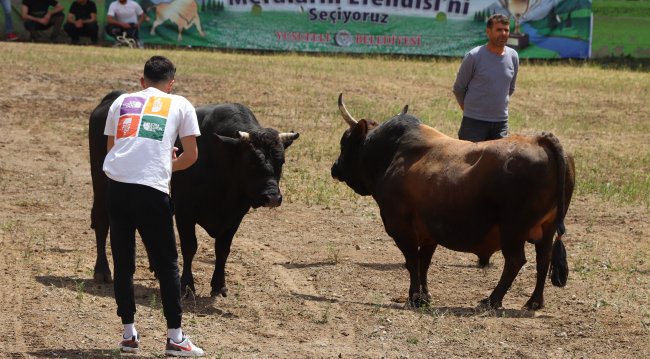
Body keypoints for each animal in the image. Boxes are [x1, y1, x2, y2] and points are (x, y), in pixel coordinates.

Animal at [87, 91, 298, 296]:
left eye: (281, 162)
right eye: (251, 162)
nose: (272, 197)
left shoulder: (235, 216)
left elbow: (223, 249)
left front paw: (219, 284)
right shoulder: (184, 211)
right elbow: (190, 247)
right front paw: (187, 285)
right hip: (101, 183)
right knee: (101, 220)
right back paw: (102, 270)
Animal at [330, 94, 572, 310]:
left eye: (344, 141)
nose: (335, 167)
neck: (392, 154)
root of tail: (540, 140)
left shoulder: (400, 227)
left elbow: (413, 261)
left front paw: (415, 297)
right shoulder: (429, 232)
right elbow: (424, 262)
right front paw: (424, 296)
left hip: (513, 230)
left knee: (515, 261)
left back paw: (492, 300)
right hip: (546, 229)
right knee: (543, 259)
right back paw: (534, 301)